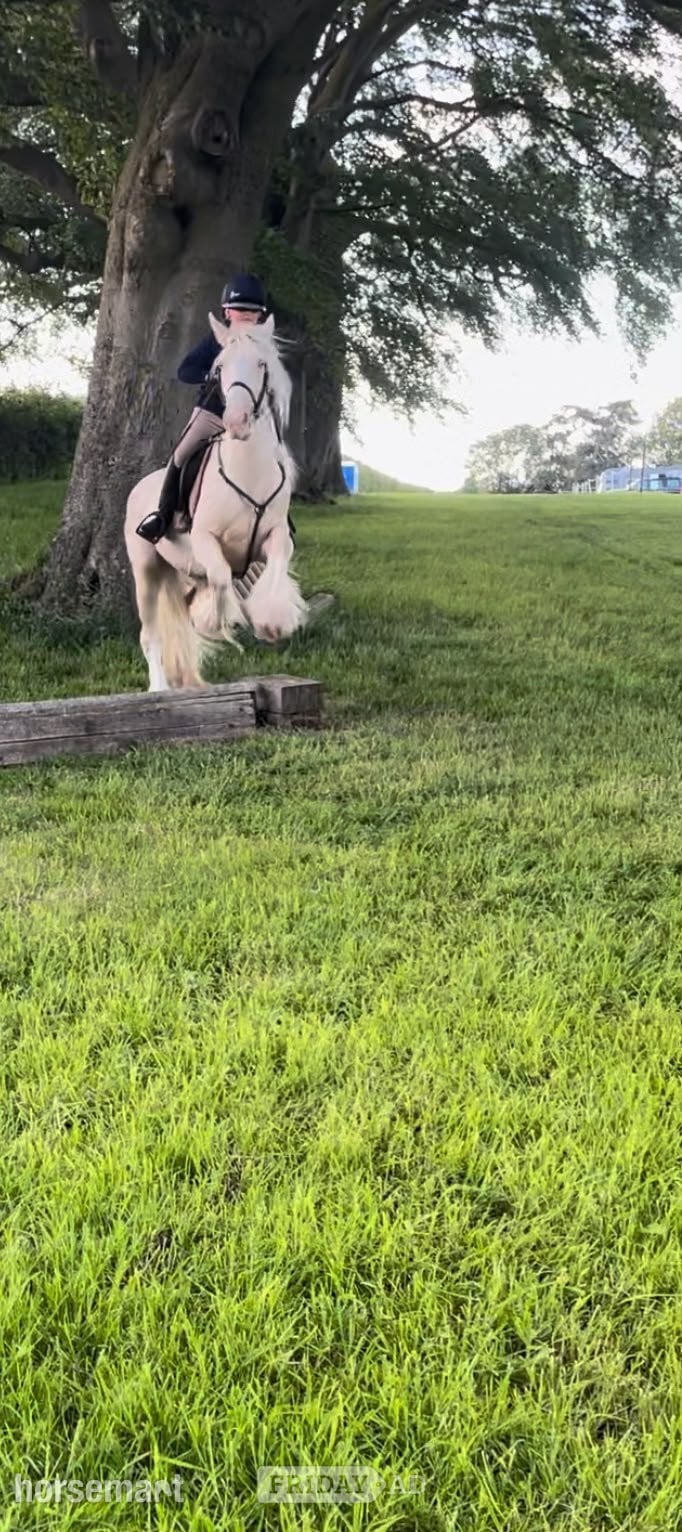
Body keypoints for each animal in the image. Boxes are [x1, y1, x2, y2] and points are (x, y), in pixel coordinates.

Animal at [124, 313, 307, 692]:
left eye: (261, 363)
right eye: (219, 367)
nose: (236, 422)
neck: (248, 469)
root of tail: (140, 486)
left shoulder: (275, 537)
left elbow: (276, 566)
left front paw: (272, 623)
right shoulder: (205, 539)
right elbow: (222, 575)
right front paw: (213, 623)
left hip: (183, 573)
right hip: (146, 567)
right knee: (151, 634)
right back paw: (159, 687)